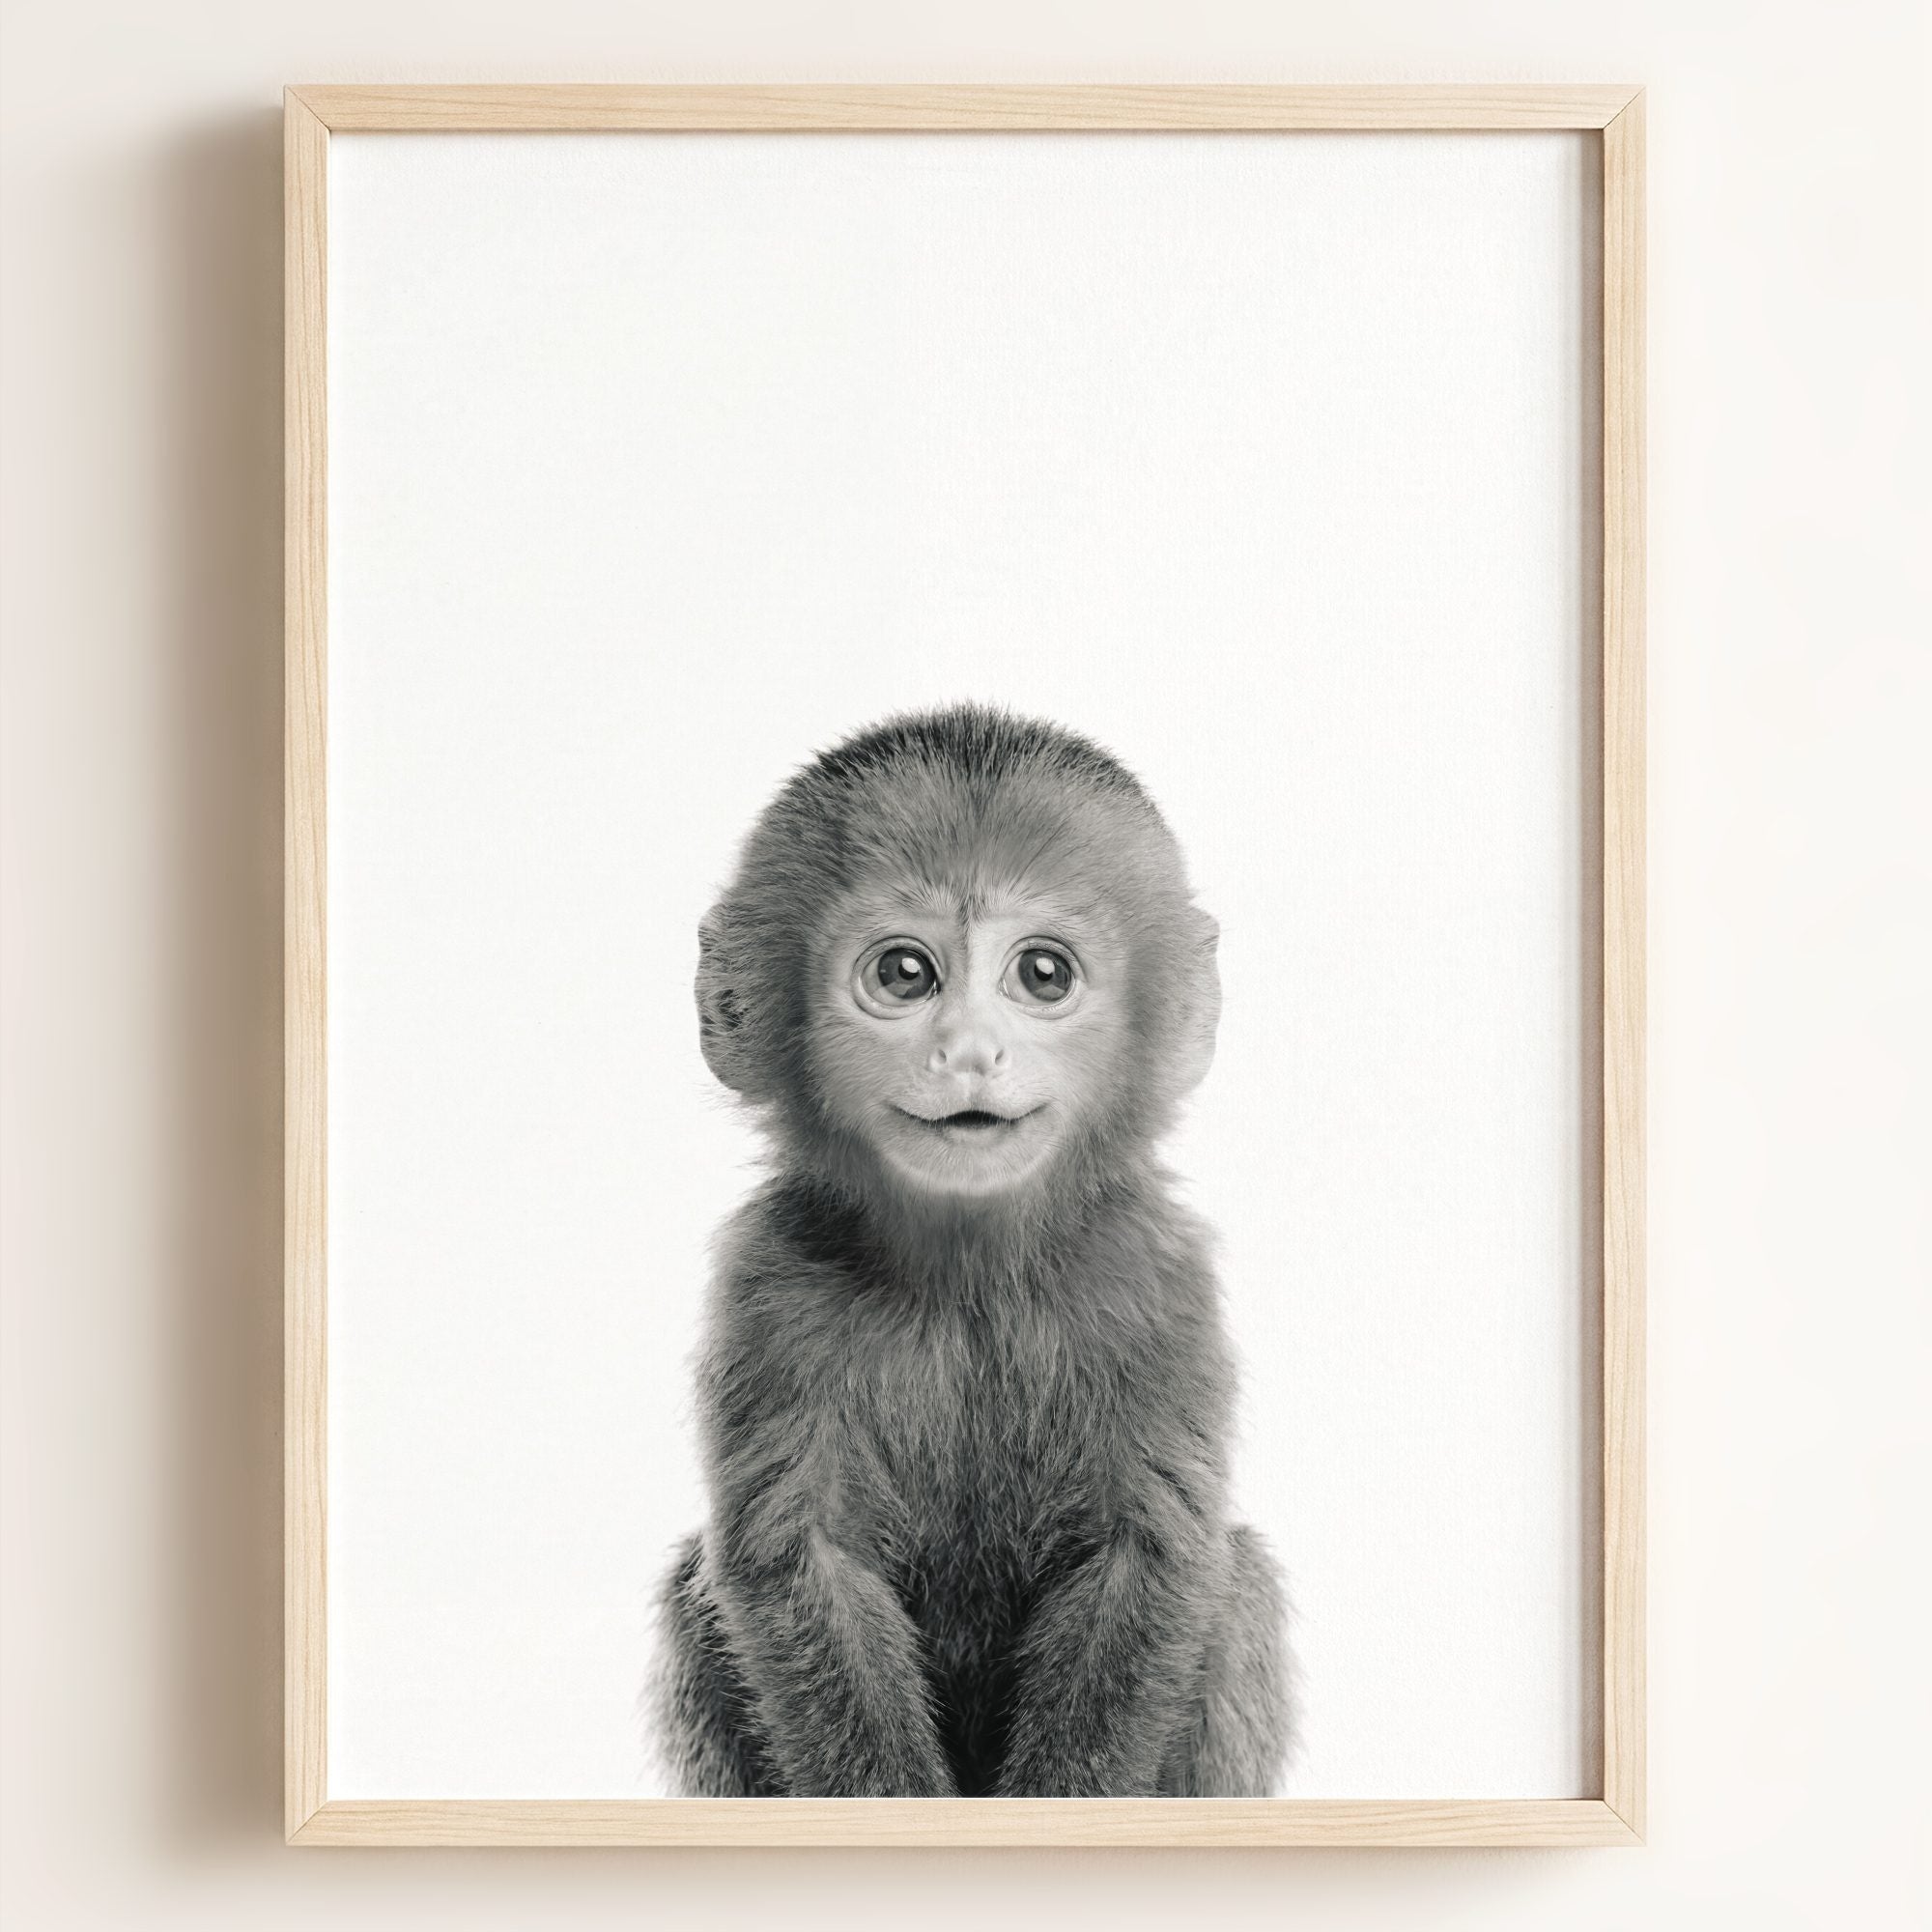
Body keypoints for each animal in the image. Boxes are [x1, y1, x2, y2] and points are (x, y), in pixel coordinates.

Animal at [650, 704, 1292, 1798]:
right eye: (904, 974)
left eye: (1042, 974)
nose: (968, 1052)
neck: (970, 1281)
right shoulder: (769, 1283)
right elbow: (798, 1563)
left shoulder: (1157, 1277)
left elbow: (1147, 1558)